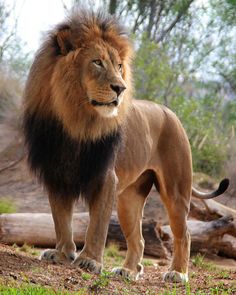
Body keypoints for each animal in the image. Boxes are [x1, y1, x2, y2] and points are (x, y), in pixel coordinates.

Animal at [22, 8, 229, 284]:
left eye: (119, 65)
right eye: (97, 62)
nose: (121, 88)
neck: (75, 121)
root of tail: (171, 113)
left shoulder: (106, 178)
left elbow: (97, 226)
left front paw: (89, 261)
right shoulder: (57, 176)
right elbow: (61, 220)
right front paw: (62, 254)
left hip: (176, 190)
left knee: (183, 233)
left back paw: (177, 273)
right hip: (129, 198)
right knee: (139, 240)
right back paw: (129, 271)